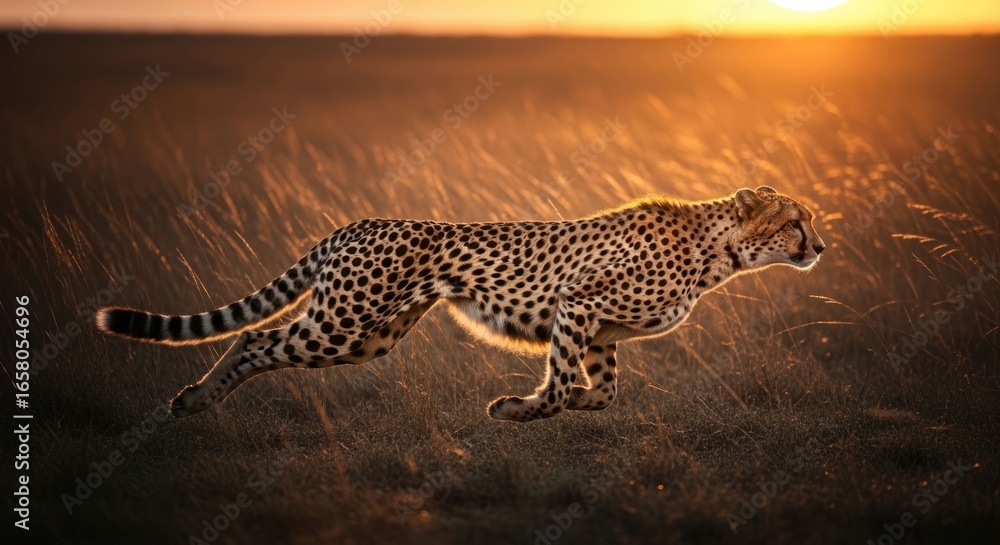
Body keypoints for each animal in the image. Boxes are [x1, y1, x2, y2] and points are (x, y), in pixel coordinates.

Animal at [96, 185, 825, 422]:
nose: (820, 243)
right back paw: (197, 397)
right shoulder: (576, 306)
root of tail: (355, 223)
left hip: (372, 333)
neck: (718, 250)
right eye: (795, 221)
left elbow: (603, 389)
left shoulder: (600, 331)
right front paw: (519, 410)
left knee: (260, 342)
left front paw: (571, 403)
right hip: (344, 322)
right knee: (253, 338)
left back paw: (198, 400)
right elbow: (563, 383)